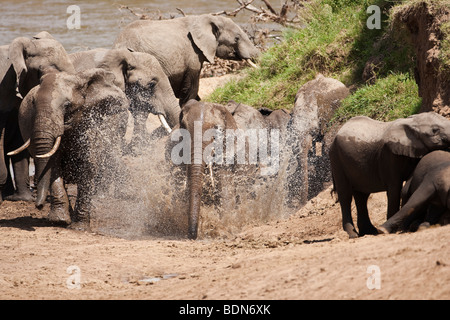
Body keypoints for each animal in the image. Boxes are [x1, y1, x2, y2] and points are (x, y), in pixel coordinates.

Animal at [14, 69, 129, 229]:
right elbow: (53, 167)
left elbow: (88, 167)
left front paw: (79, 227)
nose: (39, 206)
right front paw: (59, 220)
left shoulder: (90, 126)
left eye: (67, 105)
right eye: (33, 104)